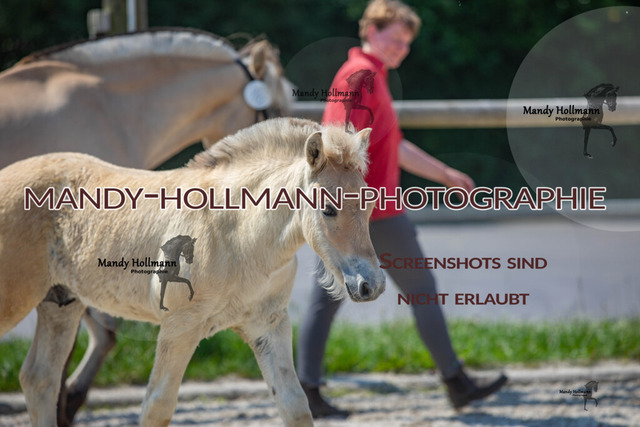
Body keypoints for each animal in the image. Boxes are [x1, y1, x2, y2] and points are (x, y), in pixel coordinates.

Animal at [0, 117, 385, 427]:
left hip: (60, 304)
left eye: (370, 205)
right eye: (329, 209)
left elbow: (294, 406)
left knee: (39, 379)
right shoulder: (180, 326)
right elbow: (157, 407)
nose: (372, 285)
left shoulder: (268, 324)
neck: (238, 235)